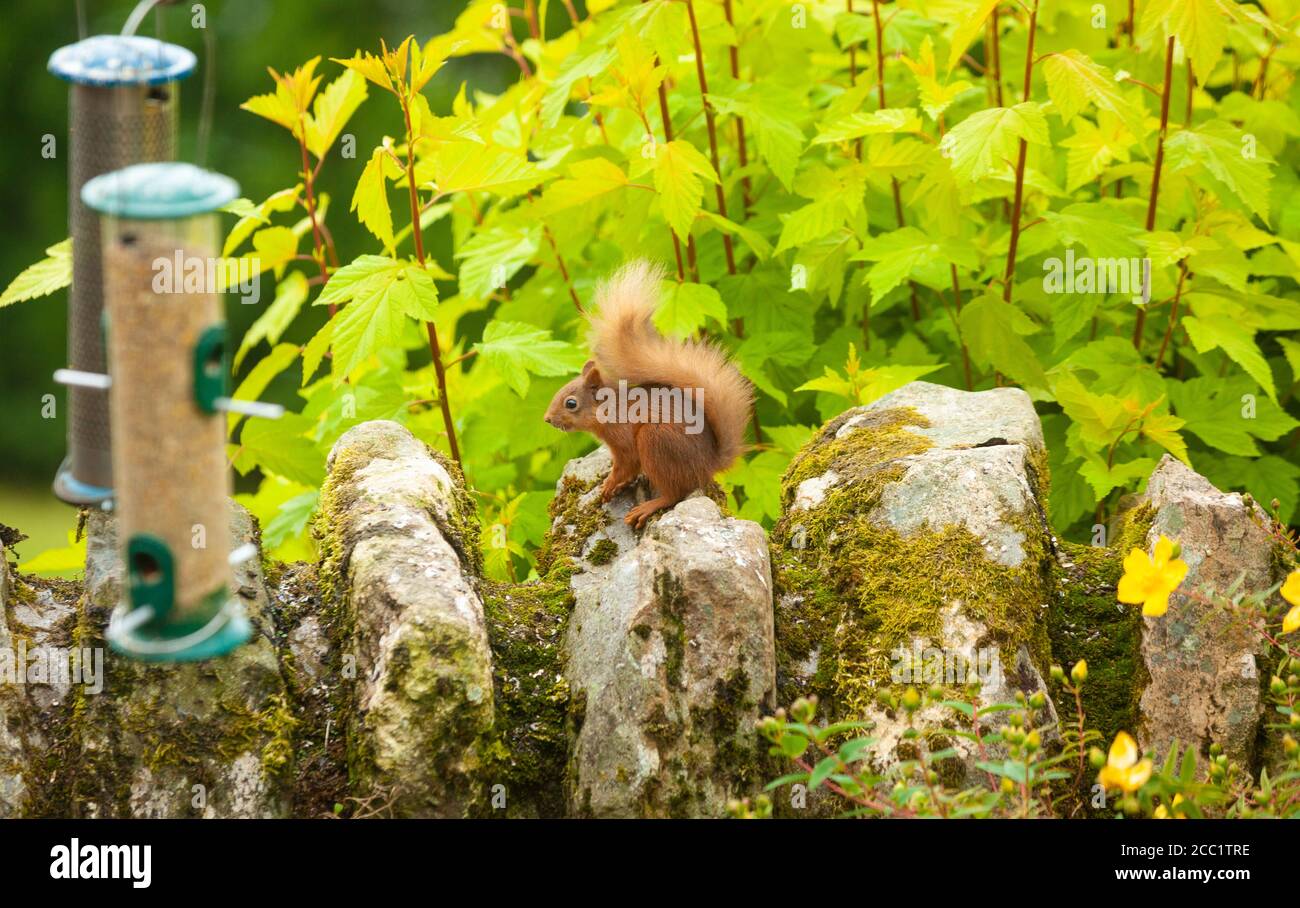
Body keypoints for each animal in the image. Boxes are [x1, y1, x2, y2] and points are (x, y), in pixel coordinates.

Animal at [544, 261, 753, 529]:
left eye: (571, 403)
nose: (547, 419)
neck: (611, 409)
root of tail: (709, 465)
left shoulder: (624, 440)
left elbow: (626, 465)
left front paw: (609, 485)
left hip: (656, 441)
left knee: (674, 493)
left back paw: (648, 507)